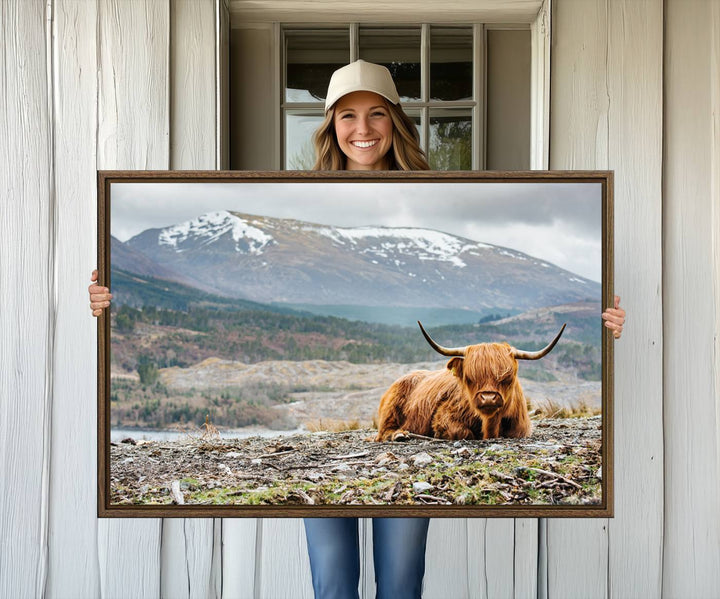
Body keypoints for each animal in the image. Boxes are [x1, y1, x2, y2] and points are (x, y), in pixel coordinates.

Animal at [374, 322, 564, 442]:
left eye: (507, 377)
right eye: (470, 378)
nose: (488, 398)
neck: (490, 424)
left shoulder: (521, 429)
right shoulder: (444, 416)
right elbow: (463, 432)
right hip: (391, 409)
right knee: (384, 431)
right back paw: (399, 435)